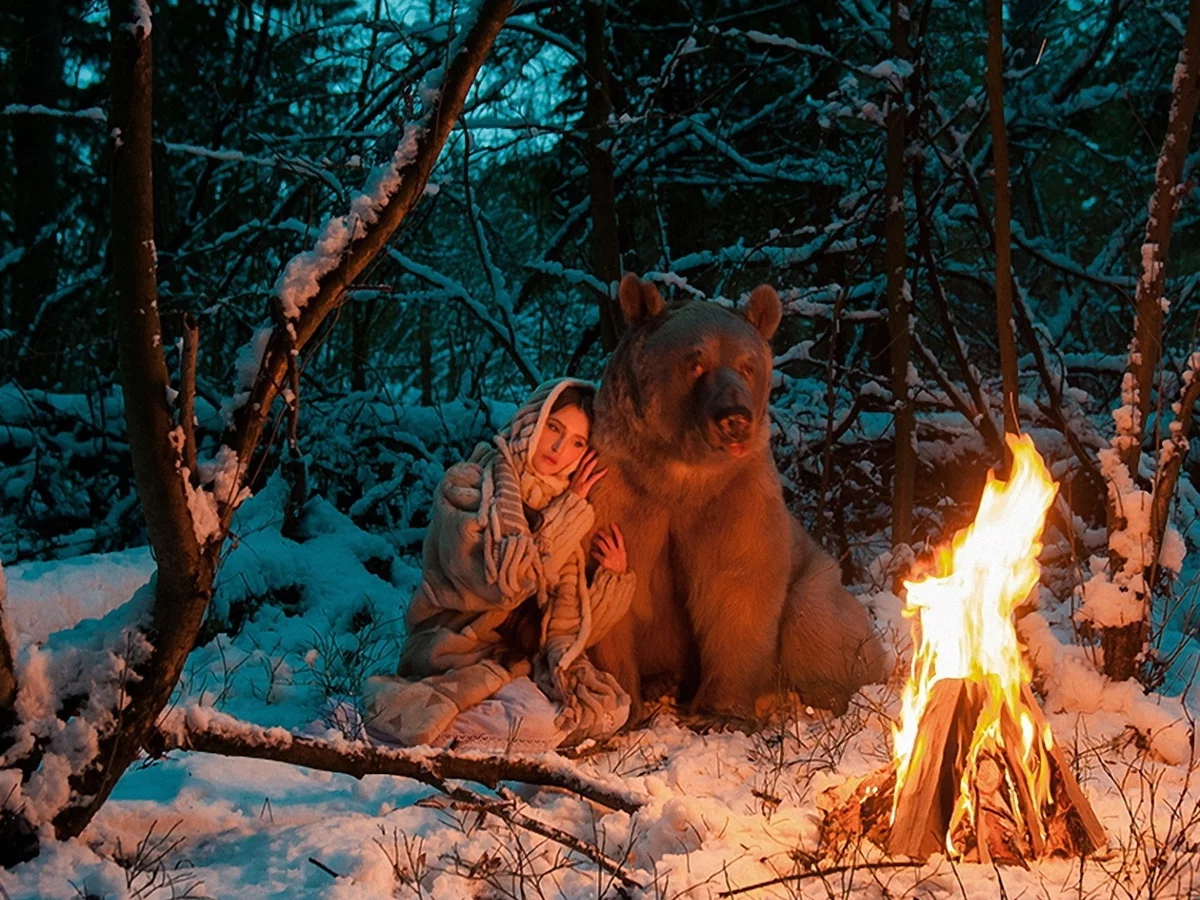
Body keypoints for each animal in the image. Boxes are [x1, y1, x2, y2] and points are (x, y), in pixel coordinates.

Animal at [585, 273, 888, 720]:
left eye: (746, 365)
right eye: (695, 362)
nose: (735, 419)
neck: (680, 474)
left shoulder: (735, 493)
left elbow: (737, 580)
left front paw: (721, 711)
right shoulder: (621, 490)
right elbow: (611, 590)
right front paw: (623, 705)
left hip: (818, 579)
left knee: (814, 620)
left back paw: (822, 695)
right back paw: (662, 682)